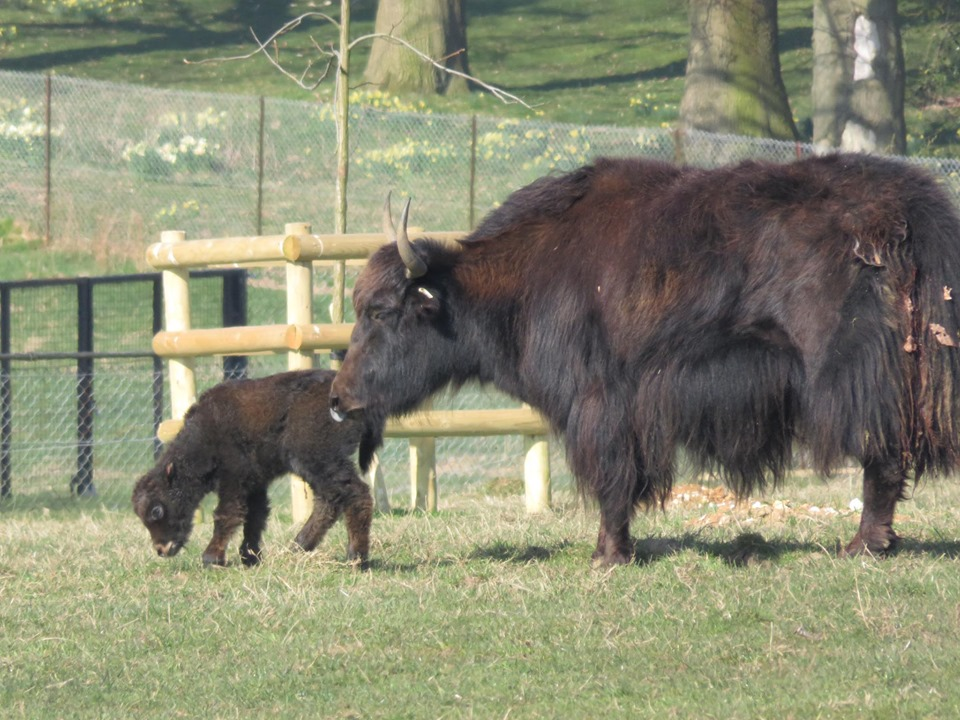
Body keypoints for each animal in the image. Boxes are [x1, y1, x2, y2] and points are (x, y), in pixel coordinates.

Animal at [135, 372, 382, 568]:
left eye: (156, 510)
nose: (162, 549)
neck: (206, 433)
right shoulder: (255, 484)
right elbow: (255, 517)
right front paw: (250, 557)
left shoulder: (234, 479)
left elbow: (227, 514)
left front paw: (211, 558)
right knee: (329, 502)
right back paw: (297, 548)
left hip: (316, 460)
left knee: (355, 495)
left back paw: (355, 558)